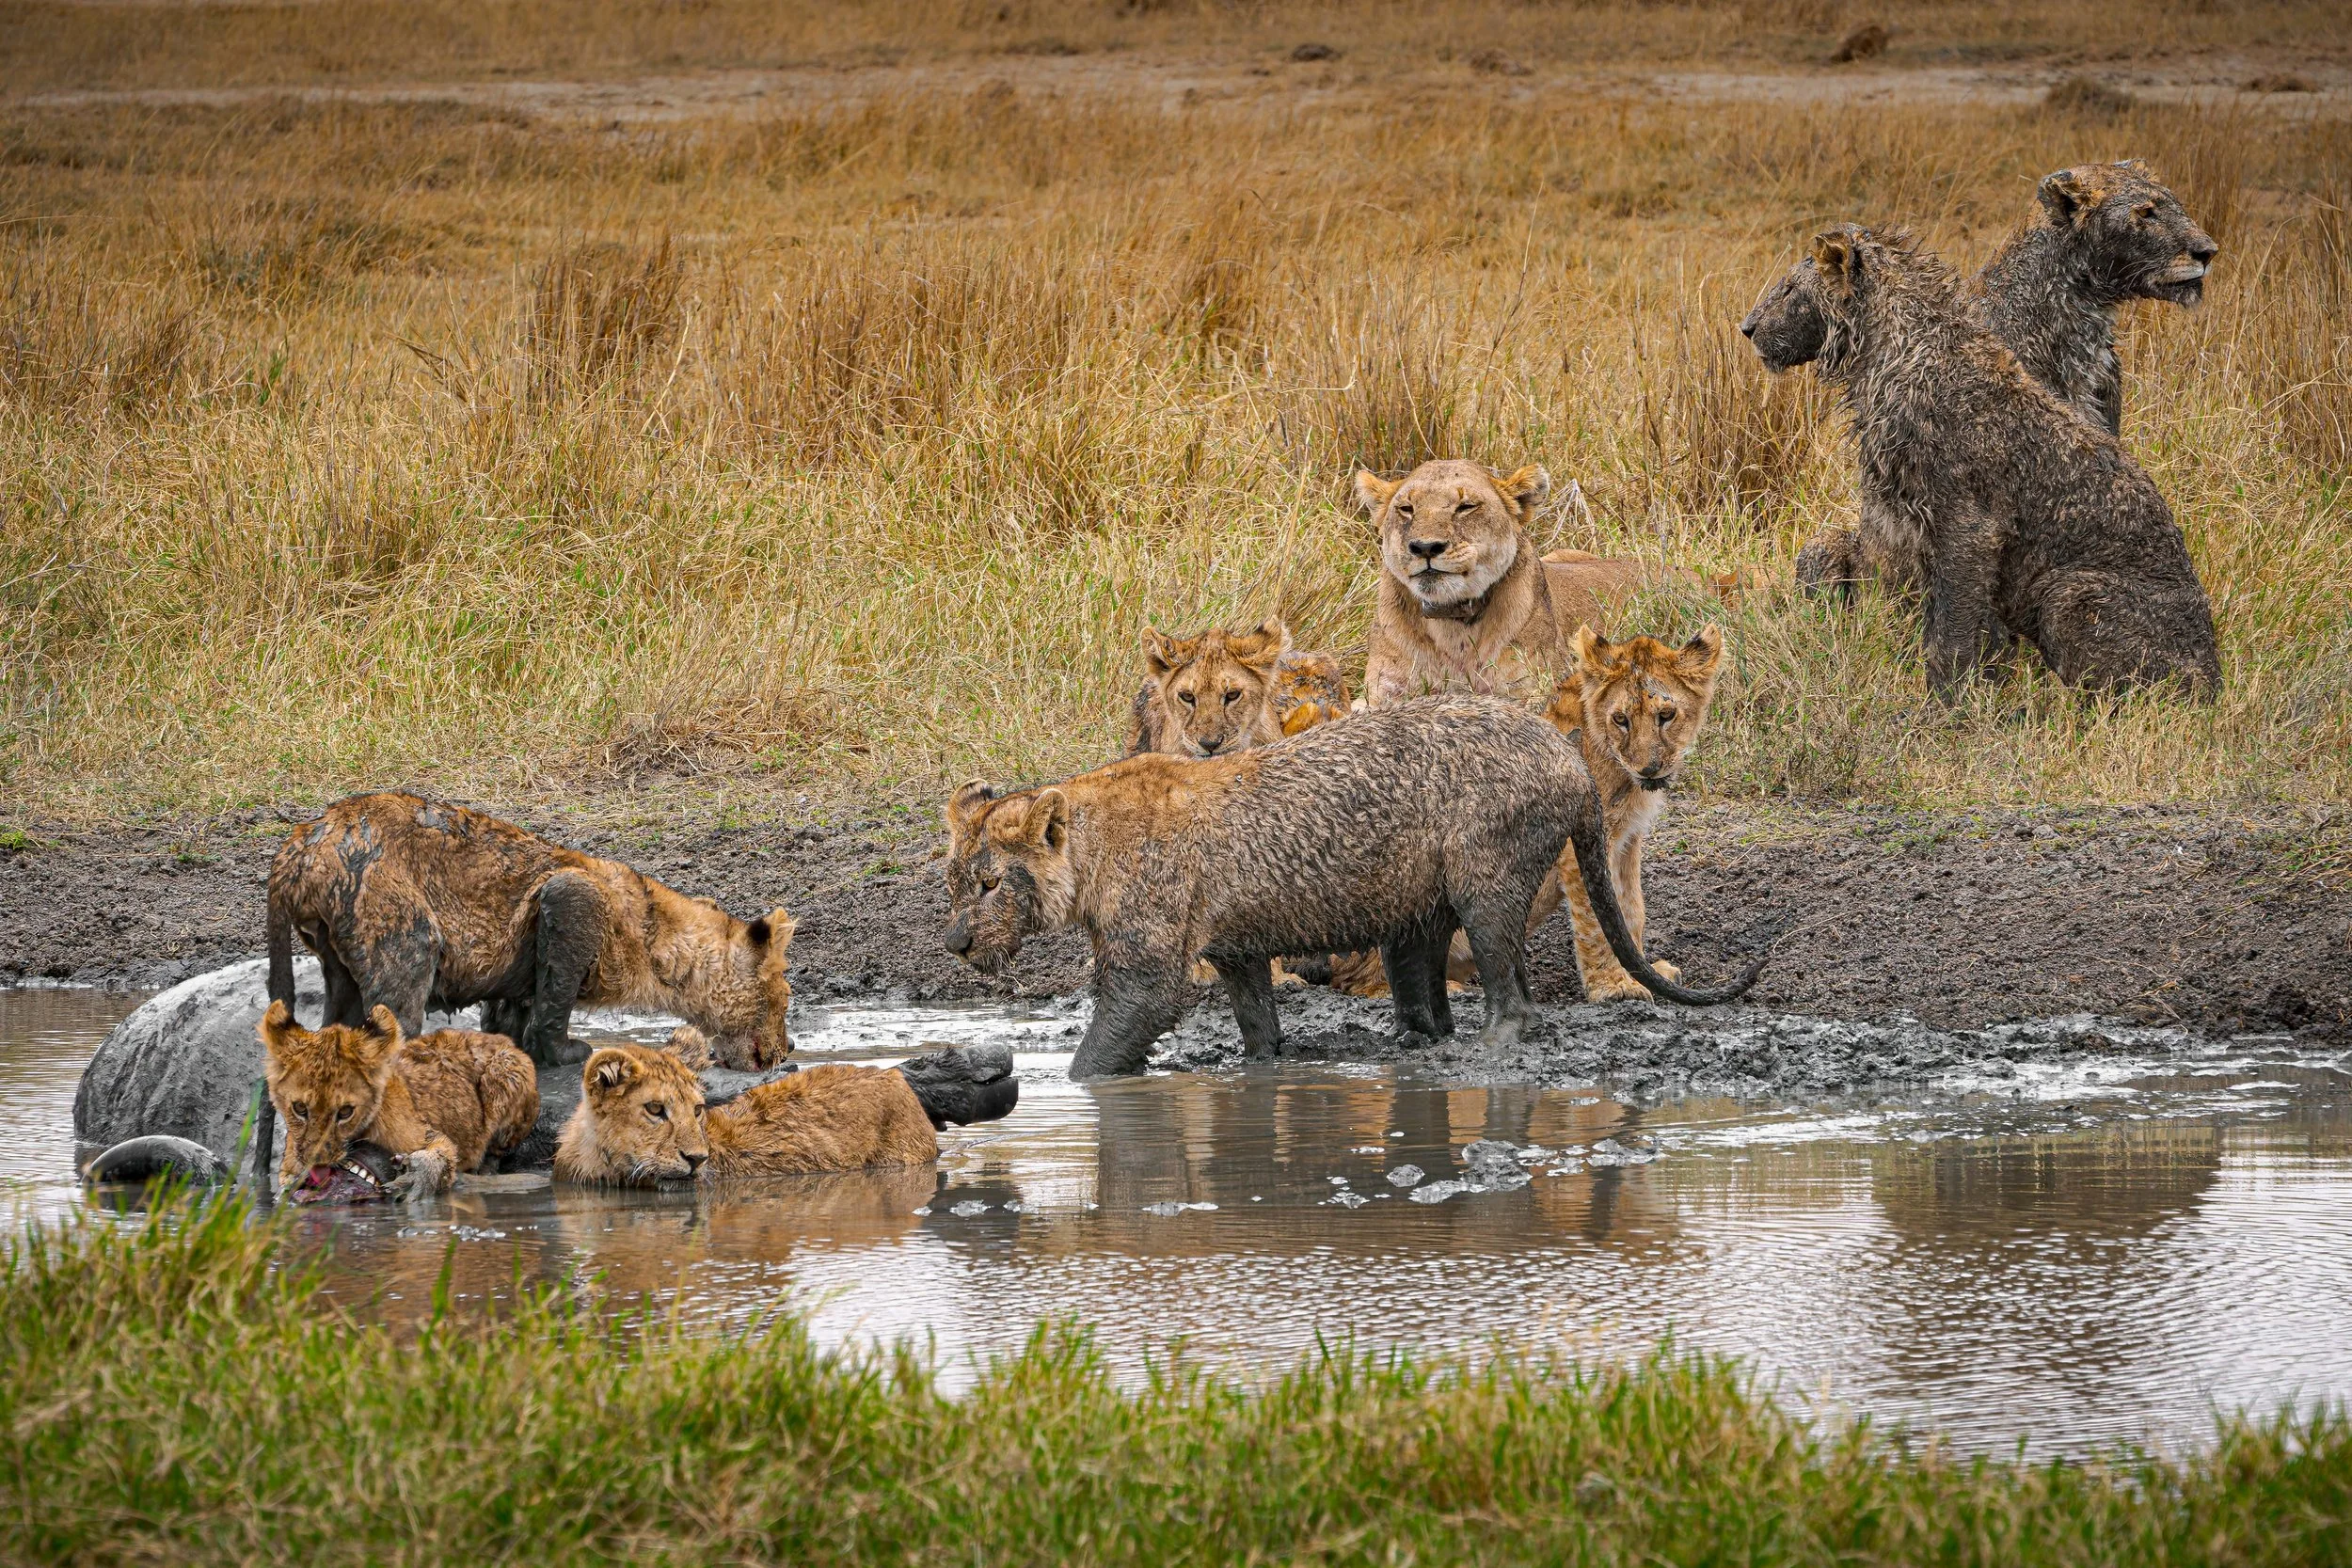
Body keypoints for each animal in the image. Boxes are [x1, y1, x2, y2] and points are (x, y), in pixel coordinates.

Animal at [258, 1000, 538, 1202]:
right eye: (299, 1108)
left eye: (346, 1112)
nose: (317, 1161)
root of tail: (501, 1037)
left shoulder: (423, 1134)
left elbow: (441, 1154)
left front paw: (417, 1177)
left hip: (506, 1070)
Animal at [267, 792, 794, 1069]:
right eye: (785, 1000)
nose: (788, 1048)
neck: (655, 942)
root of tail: (299, 847)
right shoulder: (572, 897)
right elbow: (555, 998)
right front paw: (567, 1051)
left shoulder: (516, 972)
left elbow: (512, 1012)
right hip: (396, 923)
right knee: (397, 1013)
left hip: (335, 951)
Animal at [944, 696, 1762, 1080]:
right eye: (953, 880)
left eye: (989, 881)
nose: (954, 940)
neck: (1088, 850)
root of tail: (1570, 759)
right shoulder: (1238, 946)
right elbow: (1258, 1024)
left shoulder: (1150, 954)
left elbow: (1107, 1038)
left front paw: (1084, 1081)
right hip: (1419, 908)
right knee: (1426, 985)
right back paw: (1415, 1036)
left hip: (1488, 873)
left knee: (1512, 988)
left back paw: (1488, 1041)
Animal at [1528, 625, 1726, 1002]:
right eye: (1621, 720)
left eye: (1666, 715)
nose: (1649, 769)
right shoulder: (1582, 844)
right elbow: (1595, 919)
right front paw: (1613, 986)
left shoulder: (1628, 837)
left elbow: (1630, 907)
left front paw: (1645, 974)